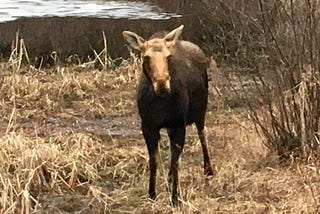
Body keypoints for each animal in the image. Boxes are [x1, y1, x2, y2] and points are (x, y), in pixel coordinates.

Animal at [124, 25, 214, 206]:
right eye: (146, 57)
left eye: (169, 56)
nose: (162, 84)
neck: (160, 103)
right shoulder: (148, 126)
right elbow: (154, 161)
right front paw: (152, 193)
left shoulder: (178, 124)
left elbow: (175, 162)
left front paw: (175, 197)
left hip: (201, 111)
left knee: (203, 134)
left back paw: (208, 169)